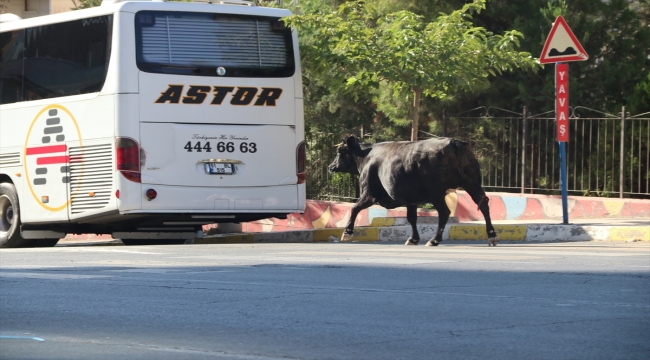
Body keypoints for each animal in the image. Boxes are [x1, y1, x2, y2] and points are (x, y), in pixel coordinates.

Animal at [326, 136, 498, 246]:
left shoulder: (370, 193)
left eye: (339, 151)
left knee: (444, 212)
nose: (330, 166)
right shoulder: (411, 199)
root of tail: (455, 142)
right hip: (471, 183)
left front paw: (347, 232)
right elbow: (412, 218)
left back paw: (434, 240)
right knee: (483, 204)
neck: (366, 157)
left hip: (436, 192)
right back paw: (492, 235)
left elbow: (355, 207)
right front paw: (413, 239)